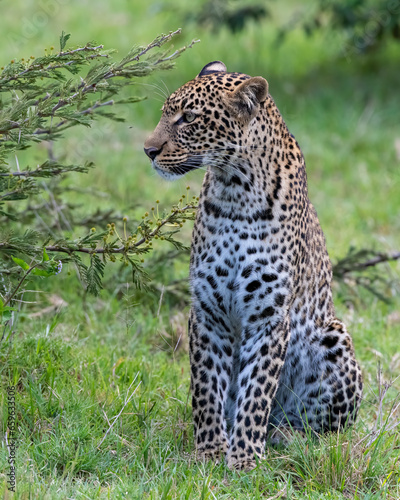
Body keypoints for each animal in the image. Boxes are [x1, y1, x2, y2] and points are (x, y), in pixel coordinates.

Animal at [144, 60, 362, 470]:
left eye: (188, 118)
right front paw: (210, 451)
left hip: (334, 336)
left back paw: (286, 437)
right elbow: (206, 388)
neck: (235, 190)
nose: (148, 149)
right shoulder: (208, 311)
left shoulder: (269, 315)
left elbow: (256, 391)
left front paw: (245, 458)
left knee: (318, 426)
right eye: (166, 113)